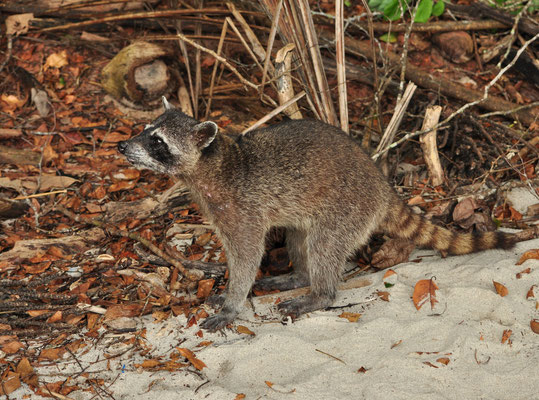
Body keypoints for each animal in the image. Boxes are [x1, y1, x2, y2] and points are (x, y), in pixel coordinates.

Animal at [119, 97, 520, 332]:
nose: (123, 145)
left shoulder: (241, 208)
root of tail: (380, 183)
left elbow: (248, 254)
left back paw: (318, 292)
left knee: (324, 246)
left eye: (157, 142)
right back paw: (298, 276)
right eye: (146, 130)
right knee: (299, 239)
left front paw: (234, 299)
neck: (211, 164)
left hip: (347, 206)